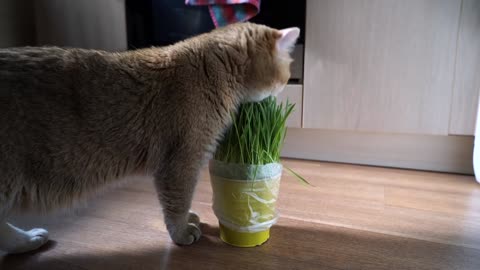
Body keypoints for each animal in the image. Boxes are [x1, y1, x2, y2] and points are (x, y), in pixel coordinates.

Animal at [0, 22, 298, 253]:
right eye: (285, 77)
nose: (283, 90)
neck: (212, 71)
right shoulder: (182, 161)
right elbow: (177, 202)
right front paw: (182, 232)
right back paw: (26, 240)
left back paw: (28, 241)